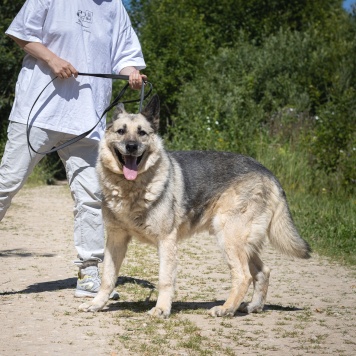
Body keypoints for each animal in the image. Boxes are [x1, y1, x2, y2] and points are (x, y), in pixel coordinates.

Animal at [79, 94, 310, 318]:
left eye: (142, 133)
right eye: (121, 131)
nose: (132, 146)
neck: (131, 188)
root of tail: (267, 171)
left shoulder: (166, 241)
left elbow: (165, 279)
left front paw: (162, 309)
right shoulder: (116, 240)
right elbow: (108, 277)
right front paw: (97, 304)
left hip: (228, 237)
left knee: (243, 276)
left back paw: (226, 309)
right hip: (243, 243)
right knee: (263, 271)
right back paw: (253, 306)